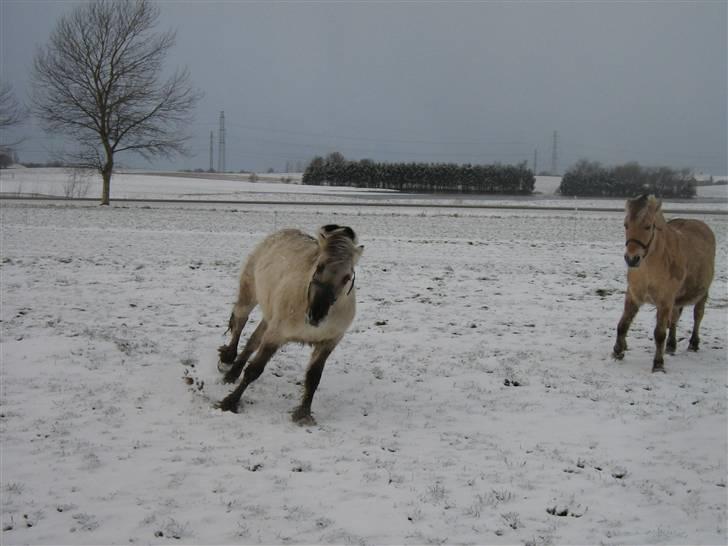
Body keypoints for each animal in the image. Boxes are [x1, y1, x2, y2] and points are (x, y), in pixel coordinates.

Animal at [216, 223, 364, 422]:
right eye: (319, 266)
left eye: (347, 277)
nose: (316, 315)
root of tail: (282, 232)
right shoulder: (276, 336)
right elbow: (254, 370)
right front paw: (230, 402)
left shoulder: (328, 343)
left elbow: (313, 378)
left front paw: (303, 414)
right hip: (249, 296)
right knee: (240, 321)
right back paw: (229, 360)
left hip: (270, 316)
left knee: (253, 339)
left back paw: (234, 371)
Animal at [616, 193, 716, 372]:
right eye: (626, 225)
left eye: (648, 226)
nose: (632, 259)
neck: (649, 267)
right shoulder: (633, 296)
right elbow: (623, 324)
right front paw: (617, 351)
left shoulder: (665, 301)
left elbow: (659, 333)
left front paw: (658, 364)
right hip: (676, 301)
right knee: (675, 319)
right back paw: (671, 345)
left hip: (702, 293)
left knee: (698, 316)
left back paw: (693, 343)